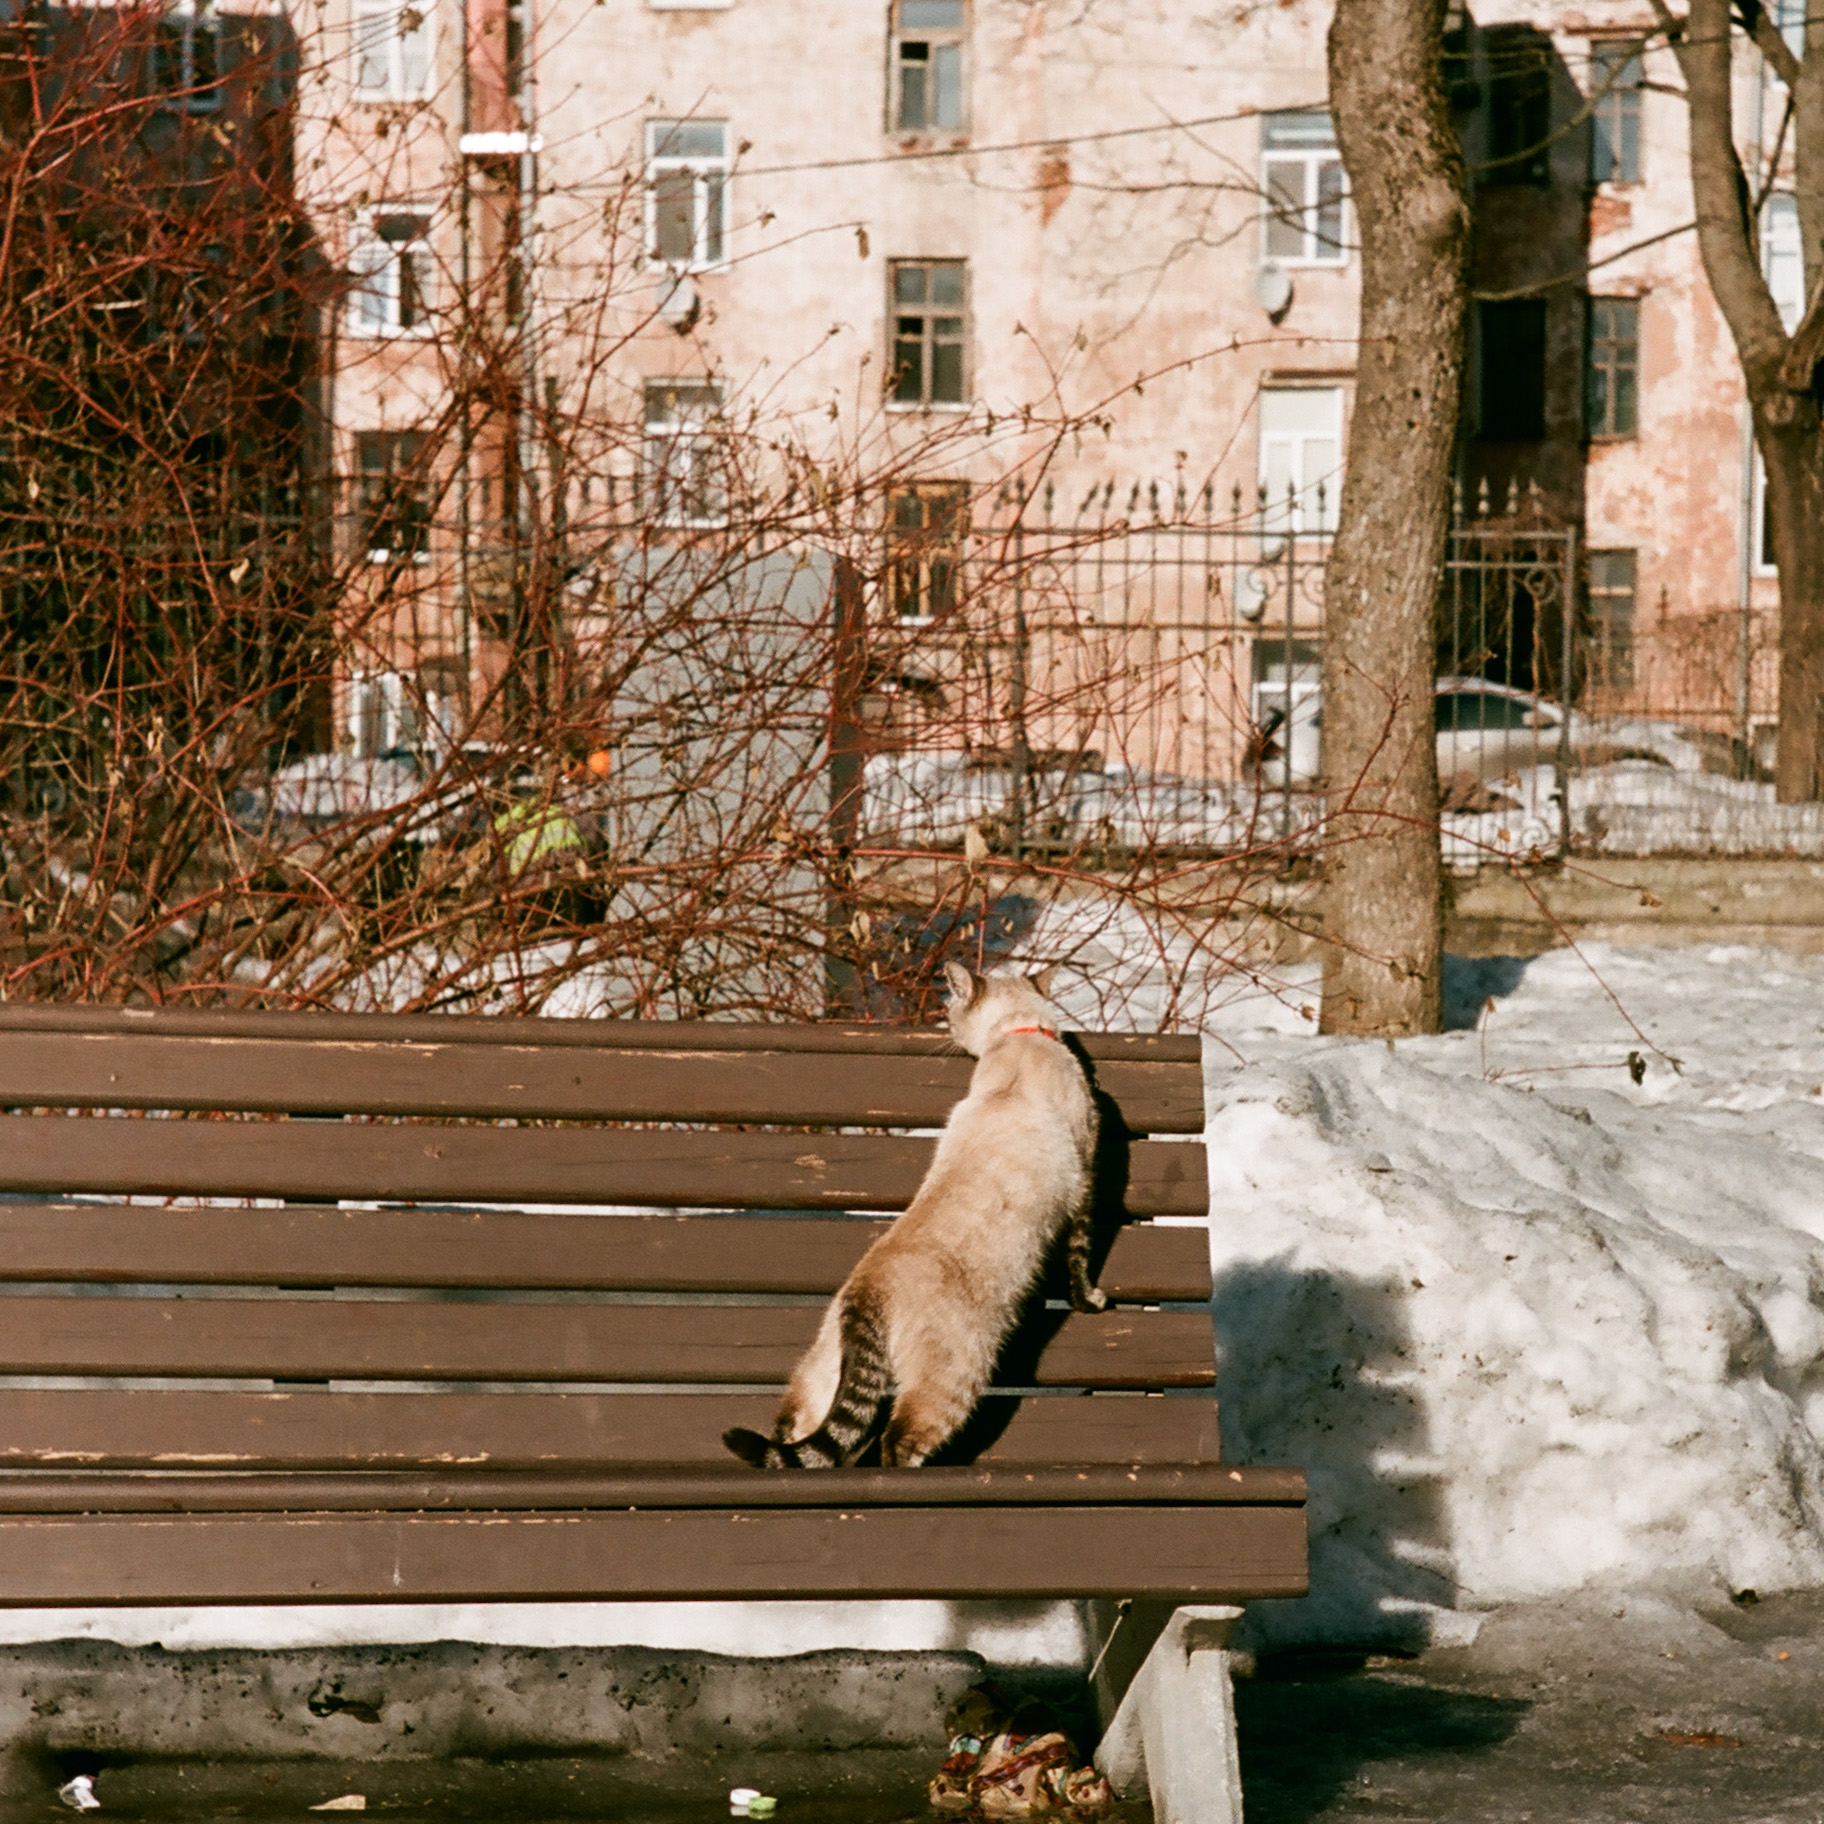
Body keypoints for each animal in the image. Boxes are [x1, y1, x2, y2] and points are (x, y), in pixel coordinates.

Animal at [718, 963, 1101, 1473]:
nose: (946, 1029)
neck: (1017, 1037)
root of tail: (867, 1288)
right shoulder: (1085, 1182)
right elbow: (1081, 1259)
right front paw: (1091, 1301)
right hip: (955, 1376)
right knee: (897, 1442)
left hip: (824, 1368)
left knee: (798, 1430)